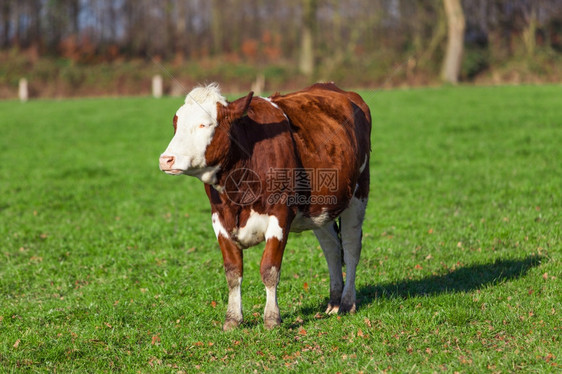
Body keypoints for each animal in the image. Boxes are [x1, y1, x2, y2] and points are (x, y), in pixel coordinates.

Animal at [159, 82, 368, 330]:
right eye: (176, 124)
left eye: (204, 124)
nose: (166, 159)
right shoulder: (219, 218)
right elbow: (233, 272)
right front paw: (233, 319)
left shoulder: (280, 214)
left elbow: (269, 269)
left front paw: (272, 318)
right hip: (321, 209)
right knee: (332, 249)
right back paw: (334, 302)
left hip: (358, 195)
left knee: (351, 247)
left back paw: (346, 303)